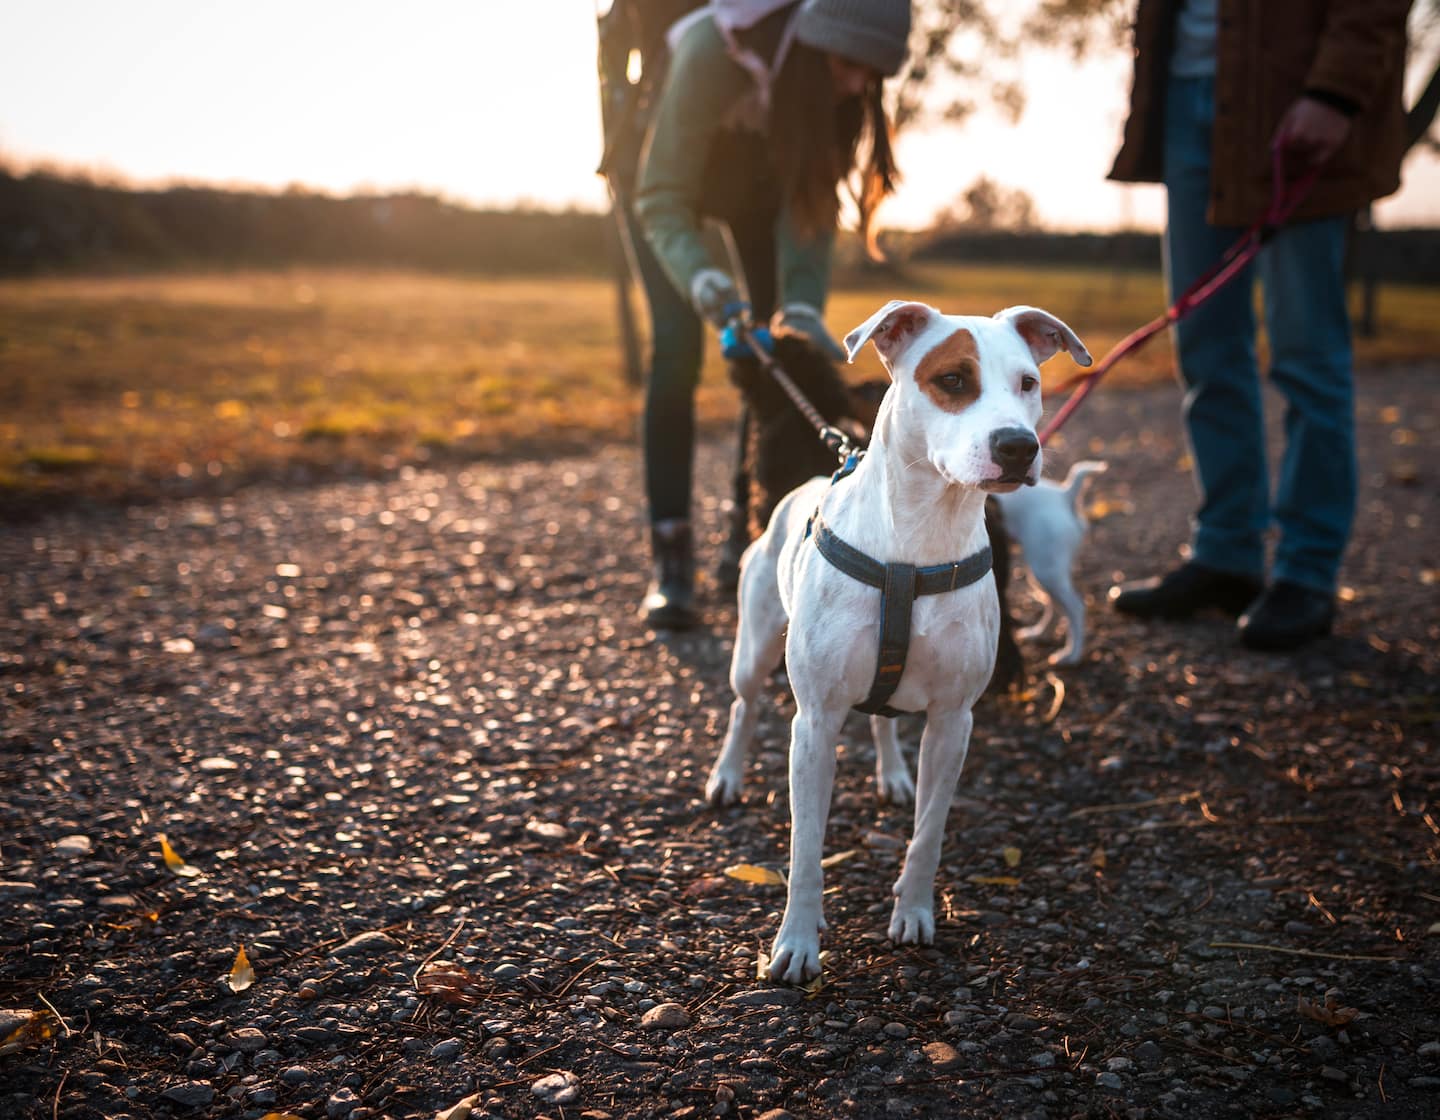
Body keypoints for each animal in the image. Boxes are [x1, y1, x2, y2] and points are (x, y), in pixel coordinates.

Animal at [708, 296, 1088, 978]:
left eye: (1028, 383)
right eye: (953, 380)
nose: (1019, 446)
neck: (920, 538)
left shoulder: (953, 721)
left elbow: (928, 832)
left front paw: (913, 912)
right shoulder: (814, 722)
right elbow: (806, 848)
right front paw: (796, 942)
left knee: (881, 719)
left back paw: (893, 774)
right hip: (752, 650)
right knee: (744, 706)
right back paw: (726, 776)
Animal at [996, 460, 1105, 662]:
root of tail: (1064, 495)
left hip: (1045, 570)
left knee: (1076, 607)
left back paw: (1072, 654)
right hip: (1045, 570)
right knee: (1054, 603)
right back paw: (1040, 633)